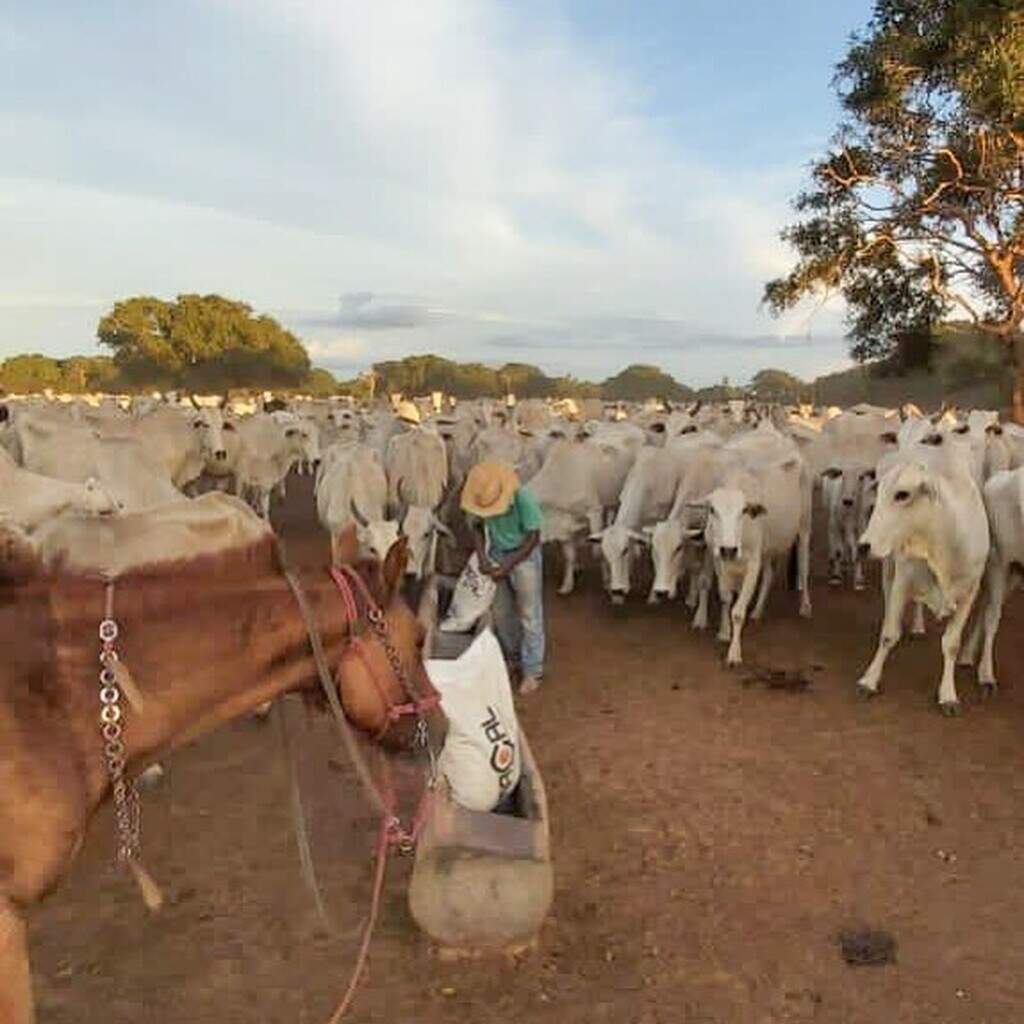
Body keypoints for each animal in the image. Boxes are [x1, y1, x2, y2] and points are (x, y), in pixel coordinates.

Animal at [692, 430, 811, 663]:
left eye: (744, 511)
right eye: (712, 510)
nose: (728, 549)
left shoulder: (752, 563)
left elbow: (738, 612)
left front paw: (734, 653)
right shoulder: (719, 560)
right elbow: (726, 597)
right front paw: (724, 632)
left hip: (804, 527)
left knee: (803, 567)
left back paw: (805, 606)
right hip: (768, 546)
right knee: (770, 574)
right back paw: (757, 611)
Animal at [856, 440, 991, 712]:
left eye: (902, 494)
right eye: (879, 492)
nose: (863, 545)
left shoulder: (970, 592)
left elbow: (951, 644)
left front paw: (948, 694)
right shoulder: (902, 581)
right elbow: (889, 635)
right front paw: (869, 680)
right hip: (890, 565)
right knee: (888, 593)